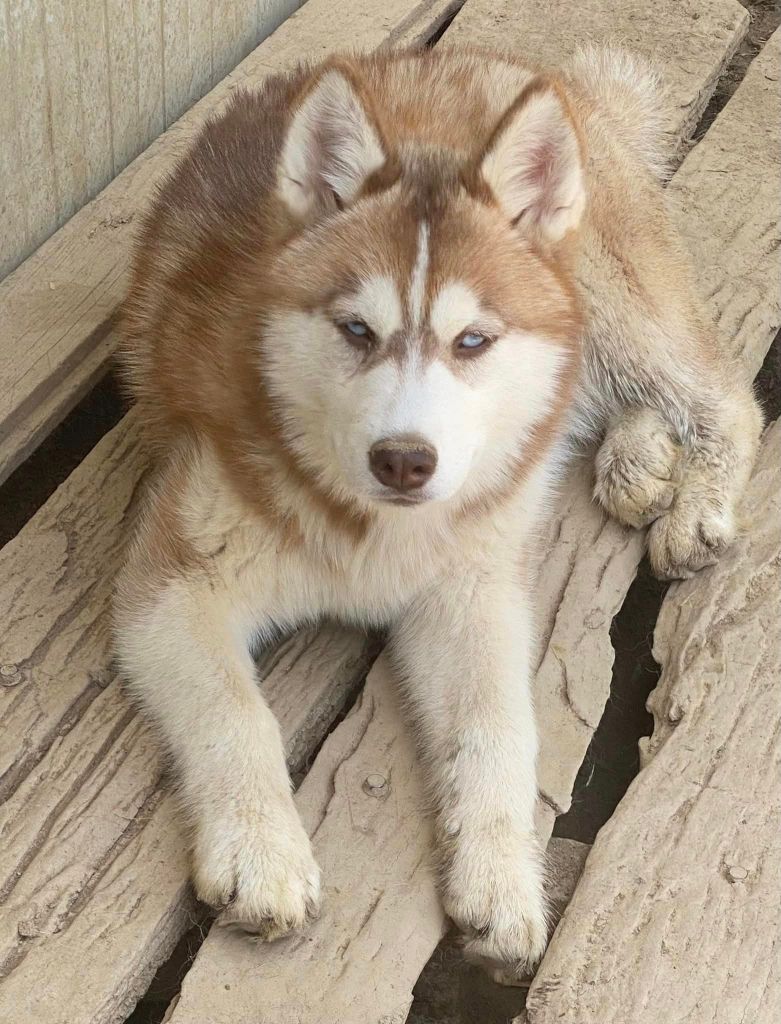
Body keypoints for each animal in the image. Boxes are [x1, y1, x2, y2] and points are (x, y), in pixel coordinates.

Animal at [116, 46, 765, 974]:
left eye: (472, 341)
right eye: (356, 330)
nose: (403, 458)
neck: (373, 527)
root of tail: (529, 71)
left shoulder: (470, 593)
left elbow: (499, 726)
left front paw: (502, 872)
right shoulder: (169, 580)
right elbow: (234, 713)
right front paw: (260, 851)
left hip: (605, 299)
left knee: (723, 395)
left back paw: (694, 500)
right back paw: (636, 458)